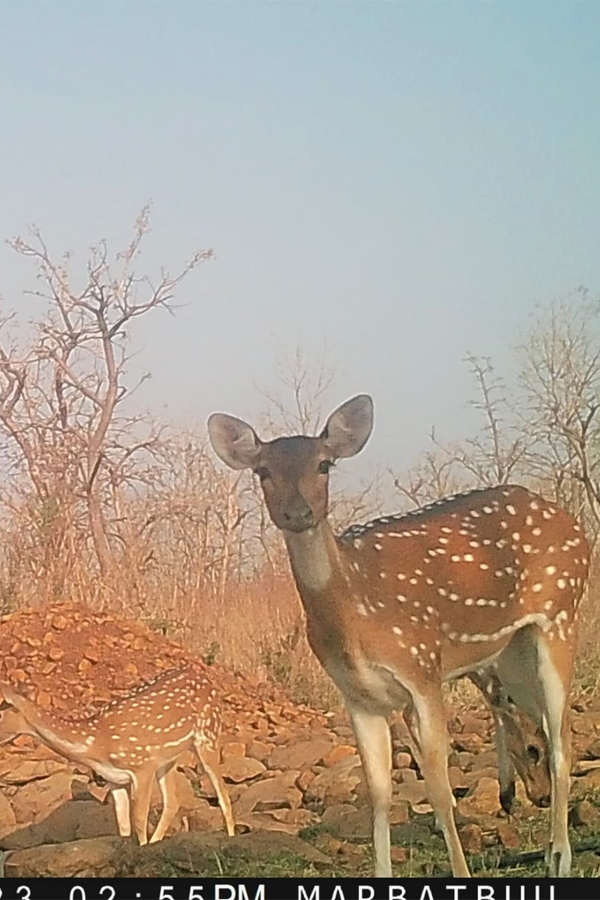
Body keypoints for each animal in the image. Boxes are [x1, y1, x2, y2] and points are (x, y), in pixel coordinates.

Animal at [0, 666, 235, 845]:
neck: (96, 743)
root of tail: (206, 678)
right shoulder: (115, 779)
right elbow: (123, 825)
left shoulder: (142, 766)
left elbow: (138, 820)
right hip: (167, 760)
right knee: (172, 802)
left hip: (208, 735)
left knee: (223, 793)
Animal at [207, 394, 589, 878]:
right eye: (263, 470)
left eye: (324, 464)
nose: (297, 512)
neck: (354, 617)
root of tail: (574, 524)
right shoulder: (359, 696)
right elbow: (379, 794)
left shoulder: (422, 668)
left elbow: (440, 788)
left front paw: (462, 871)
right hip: (512, 655)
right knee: (539, 722)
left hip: (561, 614)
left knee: (562, 741)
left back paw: (560, 857)